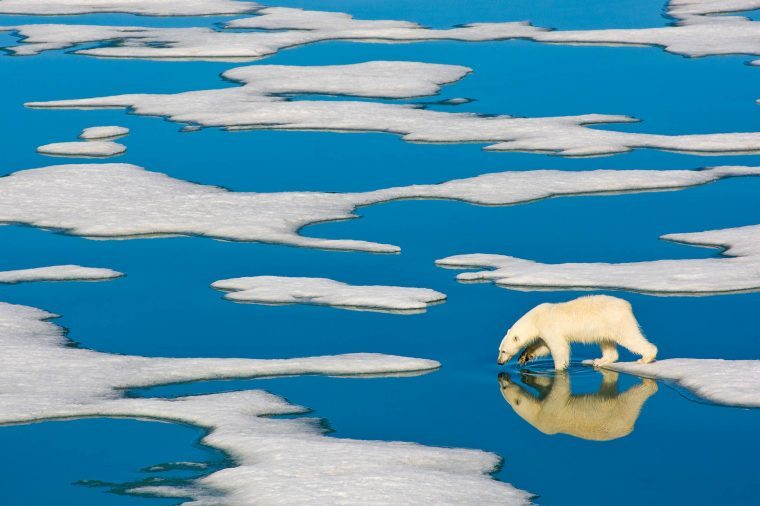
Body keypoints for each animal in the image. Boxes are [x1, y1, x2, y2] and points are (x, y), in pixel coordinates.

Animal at [496, 294, 656, 370]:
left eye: (503, 351)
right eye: (499, 349)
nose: (499, 362)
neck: (536, 318)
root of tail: (627, 305)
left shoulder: (550, 327)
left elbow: (559, 348)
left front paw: (559, 368)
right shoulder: (544, 331)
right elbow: (543, 347)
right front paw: (524, 356)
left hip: (617, 321)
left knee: (630, 337)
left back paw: (645, 358)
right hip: (604, 327)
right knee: (606, 342)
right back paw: (600, 360)